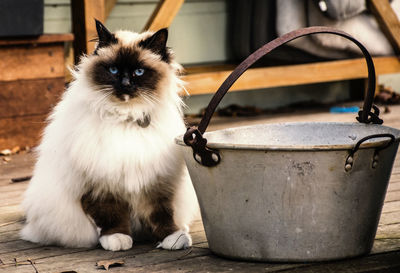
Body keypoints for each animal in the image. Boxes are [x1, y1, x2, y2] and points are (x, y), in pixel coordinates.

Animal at [20, 19, 198, 251]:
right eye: (113, 69)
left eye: (139, 72)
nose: (125, 84)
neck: (126, 118)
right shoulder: (99, 185)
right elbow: (111, 215)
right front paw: (117, 240)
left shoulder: (157, 182)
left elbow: (162, 215)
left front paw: (173, 238)